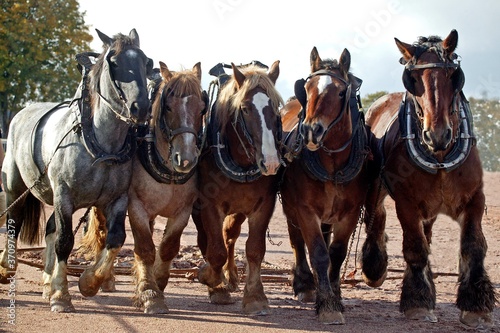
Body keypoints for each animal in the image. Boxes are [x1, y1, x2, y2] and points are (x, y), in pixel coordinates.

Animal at [0, 28, 152, 312]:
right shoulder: (64, 196)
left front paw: (89, 281)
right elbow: (65, 241)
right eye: (114, 63)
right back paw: (7, 267)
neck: (101, 147)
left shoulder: (117, 199)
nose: (141, 107)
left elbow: (116, 238)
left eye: (145, 62)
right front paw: (62, 295)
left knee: (50, 228)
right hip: (16, 185)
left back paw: (47, 282)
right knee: (14, 221)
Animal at [79, 61, 207, 312]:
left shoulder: (183, 211)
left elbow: (168, 247)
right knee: (103, 233)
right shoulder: (136, 206)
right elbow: (145, 248)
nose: (186, 159)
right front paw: (149, 292)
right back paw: (104, 278)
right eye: (168, 107)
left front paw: (157, 281)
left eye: (201, 110)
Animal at [191, 60, 284, 314]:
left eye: (276, 107)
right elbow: (215, 251)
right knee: (208, 240)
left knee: (230, 235)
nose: (271, 162)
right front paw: (212, 282)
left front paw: (255, 296)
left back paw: (231, 276)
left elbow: (254, 249)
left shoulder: (264, 205)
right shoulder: (209, 205)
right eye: (245, 108)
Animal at [282, 45, 372, 322]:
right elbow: (319, 253)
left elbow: (337, 253)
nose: (312, 131)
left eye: (342, 92)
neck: (332, 163)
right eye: (307, 88)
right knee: (296, 240)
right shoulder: (305, 209)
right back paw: (304, 284)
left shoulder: (350, 212)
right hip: (290, 206)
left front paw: (335, 295)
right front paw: (326, 304)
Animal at [360, 29, 496, 326]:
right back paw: (375, 267)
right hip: (375, 186)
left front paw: (475, 303)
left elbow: (473, 245)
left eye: (454, 75)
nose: (437, 134)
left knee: (428, 232)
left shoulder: (474, 199)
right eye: (412, 81)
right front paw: (418, 301)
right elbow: (415, 247)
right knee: (377, 218)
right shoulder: (406, 204)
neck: (441, 156)